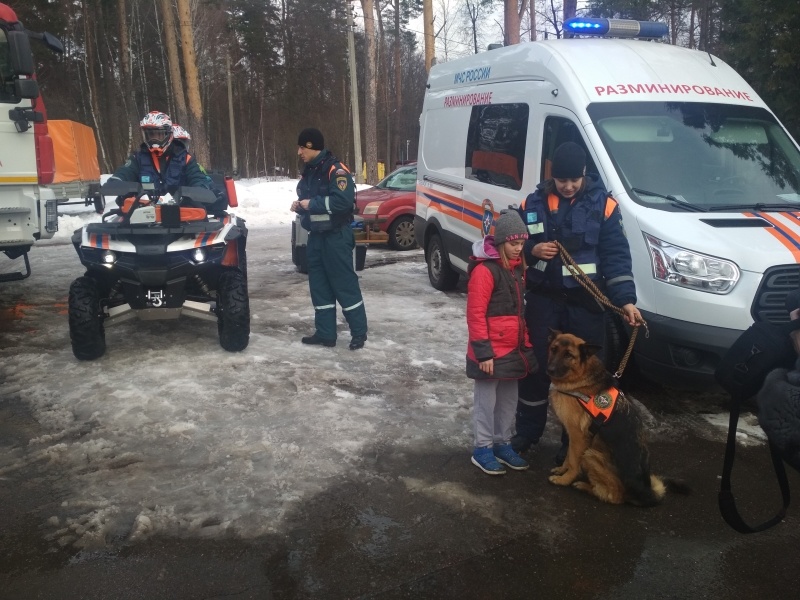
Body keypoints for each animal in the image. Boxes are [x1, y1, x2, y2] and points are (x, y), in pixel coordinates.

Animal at [552, 330, 688, 504]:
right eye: (553, 349)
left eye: (569, 355)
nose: (550, 369)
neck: (582, 377)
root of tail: (646, 491)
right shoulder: (573, 436)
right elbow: (569, 456)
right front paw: (562, 469)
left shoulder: (578, 436)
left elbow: (573, 461)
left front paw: (564, 480)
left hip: (591, 454)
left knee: (614, 496)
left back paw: (585, 486)